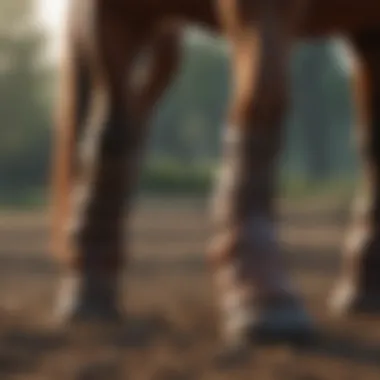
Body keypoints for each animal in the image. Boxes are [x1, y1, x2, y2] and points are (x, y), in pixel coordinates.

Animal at [52, 0, 380, 348]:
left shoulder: (370, 30)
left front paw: (365, 292)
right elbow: (263, 100)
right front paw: (263, 299)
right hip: (117, 18)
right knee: (113, 128)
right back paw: (88, 294)